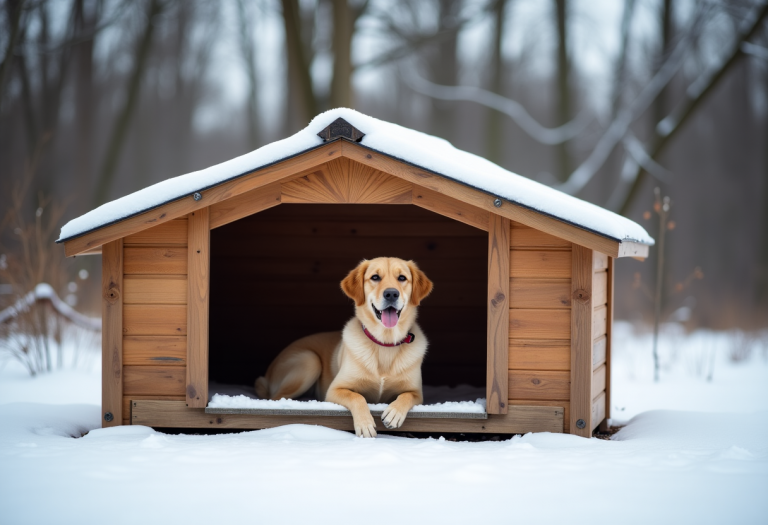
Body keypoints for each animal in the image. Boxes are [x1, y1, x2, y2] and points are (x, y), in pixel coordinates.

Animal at [254, 256, 428, 436]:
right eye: (375, 277)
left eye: (402, 278)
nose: (391, 293)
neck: (384, 344)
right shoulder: (335, 390)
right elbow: (357, 397)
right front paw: (365, 424)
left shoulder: (417, 393)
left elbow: (406, 396)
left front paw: (394, 413)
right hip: (309, 360)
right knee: (276, 398)